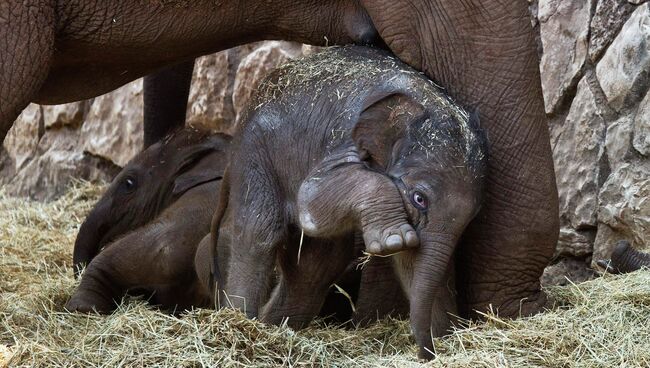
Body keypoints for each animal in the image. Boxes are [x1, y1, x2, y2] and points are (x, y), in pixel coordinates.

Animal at [213, 44, 486, 358]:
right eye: (419, 199)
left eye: (473, 217)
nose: (428, 353)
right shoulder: (342, 140)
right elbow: (311, 197)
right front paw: (394, 240)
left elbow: (411, 262)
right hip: (255, 156)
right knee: (259, 234)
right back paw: (240, 325)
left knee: (314, 266)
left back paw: (276, 331)